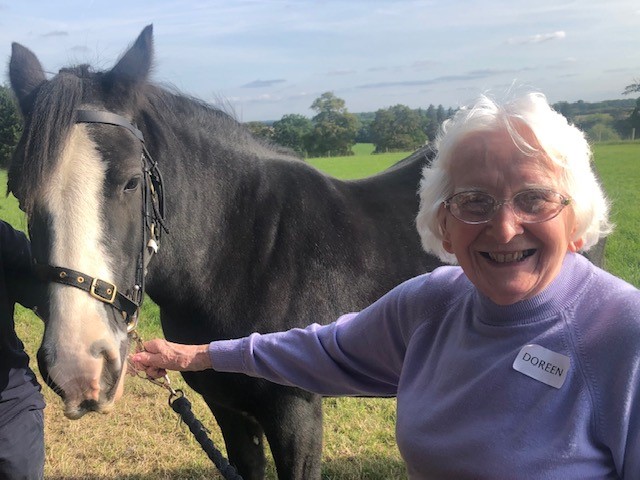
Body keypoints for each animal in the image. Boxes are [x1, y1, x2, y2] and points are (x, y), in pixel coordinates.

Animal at [8, 25, 444, 479]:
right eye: (20, 195)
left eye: (131, 182)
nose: (79, 367)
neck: (244, 254)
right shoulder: (229, 410)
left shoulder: (298, 414)